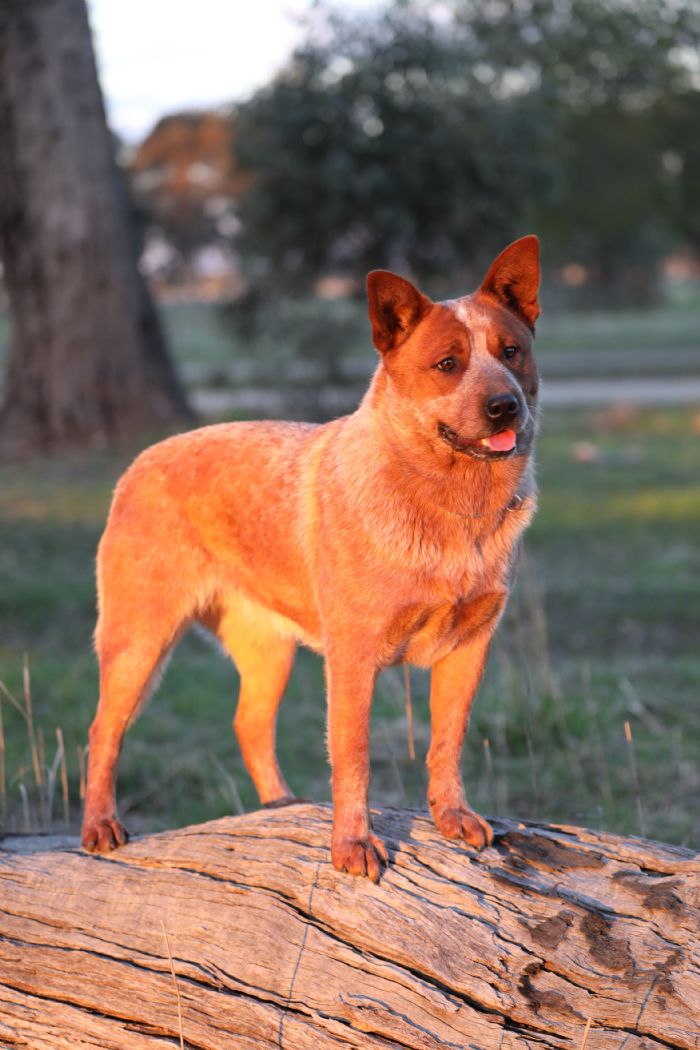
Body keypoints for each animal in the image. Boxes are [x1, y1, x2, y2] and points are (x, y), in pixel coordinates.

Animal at [83, 236, 541, 877]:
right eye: (447, 364)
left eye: (512, 351)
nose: (505, 405)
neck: (448, 507)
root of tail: (138, 462)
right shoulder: (353, 655)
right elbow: (353, 754)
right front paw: (352, 846)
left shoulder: (470, 644)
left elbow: (447, 740)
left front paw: (452, 818)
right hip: (139, 637)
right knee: (104, 728)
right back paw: (100, 827)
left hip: (268, 649)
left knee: (249, 724)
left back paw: (281, 807)